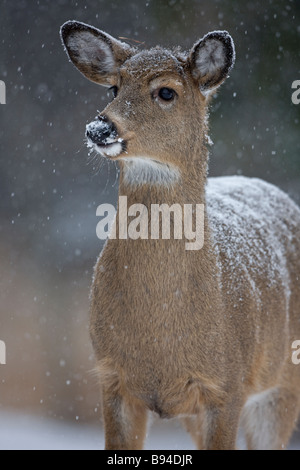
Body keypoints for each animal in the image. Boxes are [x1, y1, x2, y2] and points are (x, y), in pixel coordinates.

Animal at [59, 20, 300, 450]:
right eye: (114, 87)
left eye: (166, 92)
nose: (100, 127)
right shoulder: (113, 379)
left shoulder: (227, 384)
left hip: (282, 383)